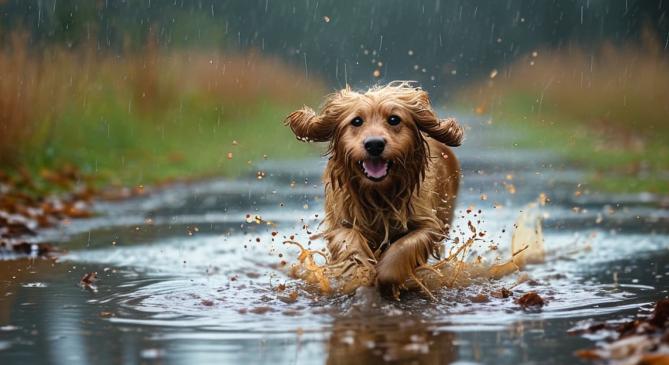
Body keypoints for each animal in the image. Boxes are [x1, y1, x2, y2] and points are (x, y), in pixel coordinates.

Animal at [284, 80, 462, 296]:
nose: (374, 144)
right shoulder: (340, 220)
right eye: (357, 121)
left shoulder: (428, 223)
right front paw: (361, 272)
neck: (378, 194)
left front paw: (387, 276)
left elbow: (404, 246)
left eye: (394, 119)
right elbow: (349, 240)